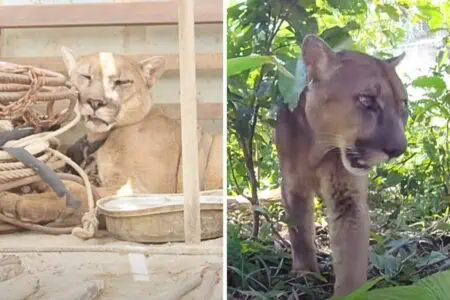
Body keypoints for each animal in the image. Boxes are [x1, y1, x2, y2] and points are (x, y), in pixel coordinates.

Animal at [276, 36, 406, 296]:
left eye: (403, 107)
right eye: (367, 100)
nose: (399, 150)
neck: (316, 149)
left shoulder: (347, 196)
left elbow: (351, 256)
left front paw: (350, 294)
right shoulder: (293, 186)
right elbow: (299, 231)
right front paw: (305, 273)